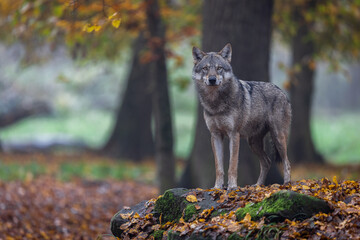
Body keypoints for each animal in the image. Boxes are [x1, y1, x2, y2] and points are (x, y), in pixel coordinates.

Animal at [193, 43, 292, 189]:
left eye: (219, 68)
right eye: (205, 68)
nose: (212, 79)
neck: (216, 103)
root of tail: (282, 91)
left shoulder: (234, 134)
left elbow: (232, 165)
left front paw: (232, 187)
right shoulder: (215, 135)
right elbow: (219, 167)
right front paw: (217, 187)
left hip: (278, 137)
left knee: (286, 162)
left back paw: (287, 184)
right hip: (253, 143)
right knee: (267, 162)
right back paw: (257, 185)